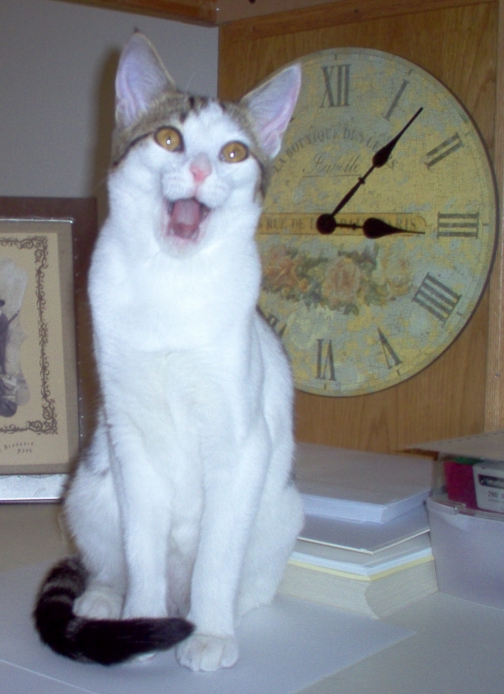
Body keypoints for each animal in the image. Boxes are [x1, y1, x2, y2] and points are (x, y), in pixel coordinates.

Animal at [36, 32, 304, 676]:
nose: (202, 168)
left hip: (283, 512)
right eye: (168, 139)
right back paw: (105, 601)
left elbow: (217, 557)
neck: (171, 286)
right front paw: (142, 623)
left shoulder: (242, 442)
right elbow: (143, 548)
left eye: (234, 152)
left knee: (247, 583)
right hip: (90, 488)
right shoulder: (129, 437)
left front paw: (208, 632)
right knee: (109, 563)